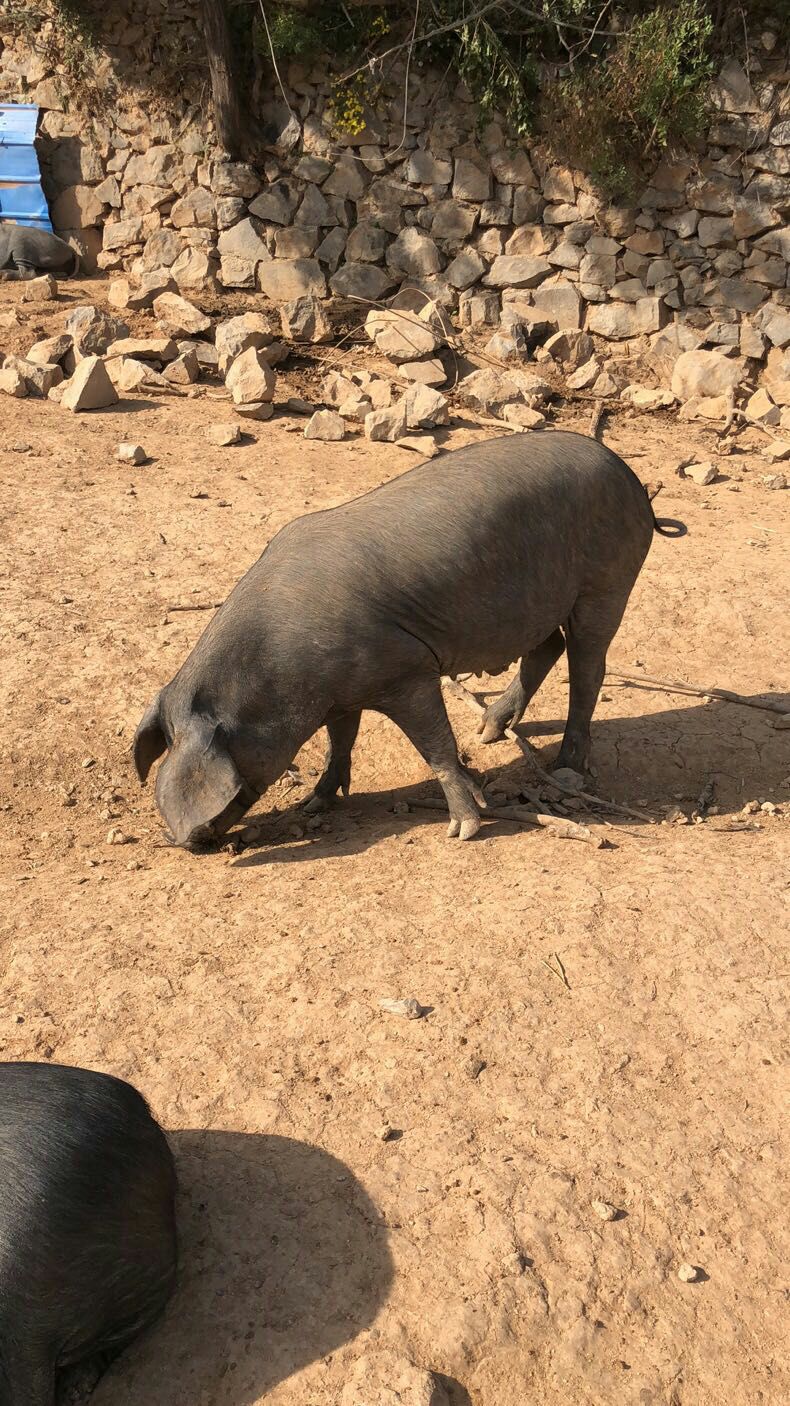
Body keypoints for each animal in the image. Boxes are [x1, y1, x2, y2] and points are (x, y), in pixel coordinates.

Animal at [133, 427, 663, 843]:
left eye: (237, 784)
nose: (187, 841)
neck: (281, 670)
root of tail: (631, 478)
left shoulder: (406, 671)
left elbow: (436, 745)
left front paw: (463, 829)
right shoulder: (341, 694)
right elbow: (340, 742)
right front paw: (314, 804)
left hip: (608, 581)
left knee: (588, 666)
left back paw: (564, 769)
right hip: (543, 602)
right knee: (550, 646)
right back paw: (489, 730)